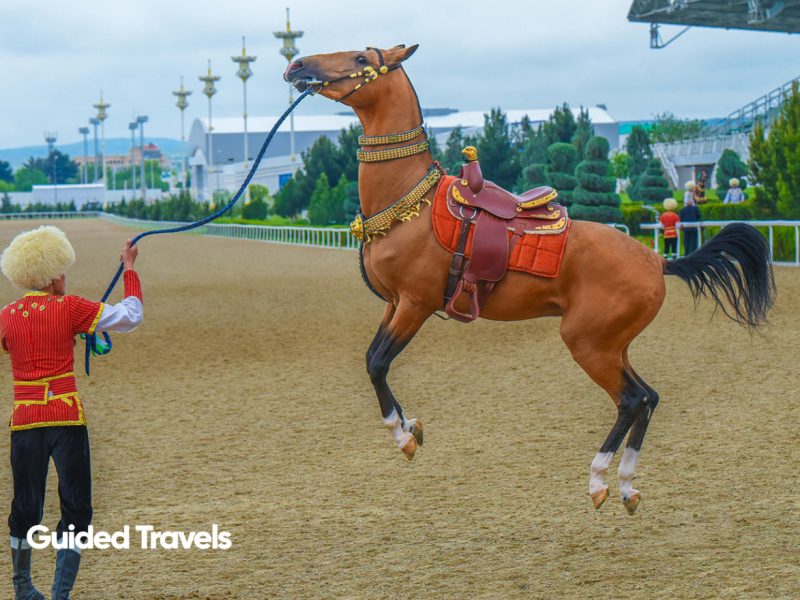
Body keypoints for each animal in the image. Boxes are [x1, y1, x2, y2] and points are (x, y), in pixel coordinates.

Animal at [284, 44, 775, 513]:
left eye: (360, 57)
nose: (297, 65)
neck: (410, 202)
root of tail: (657, 261)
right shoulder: (394, 304)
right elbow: (373, 357)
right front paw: (411, 426)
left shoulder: (415, 304)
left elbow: (378, 364)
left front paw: (403, 437)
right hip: (614, 346)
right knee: (648, 398)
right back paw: (625, 487)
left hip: (588, 344)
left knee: (632, 400)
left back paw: (598, 480)